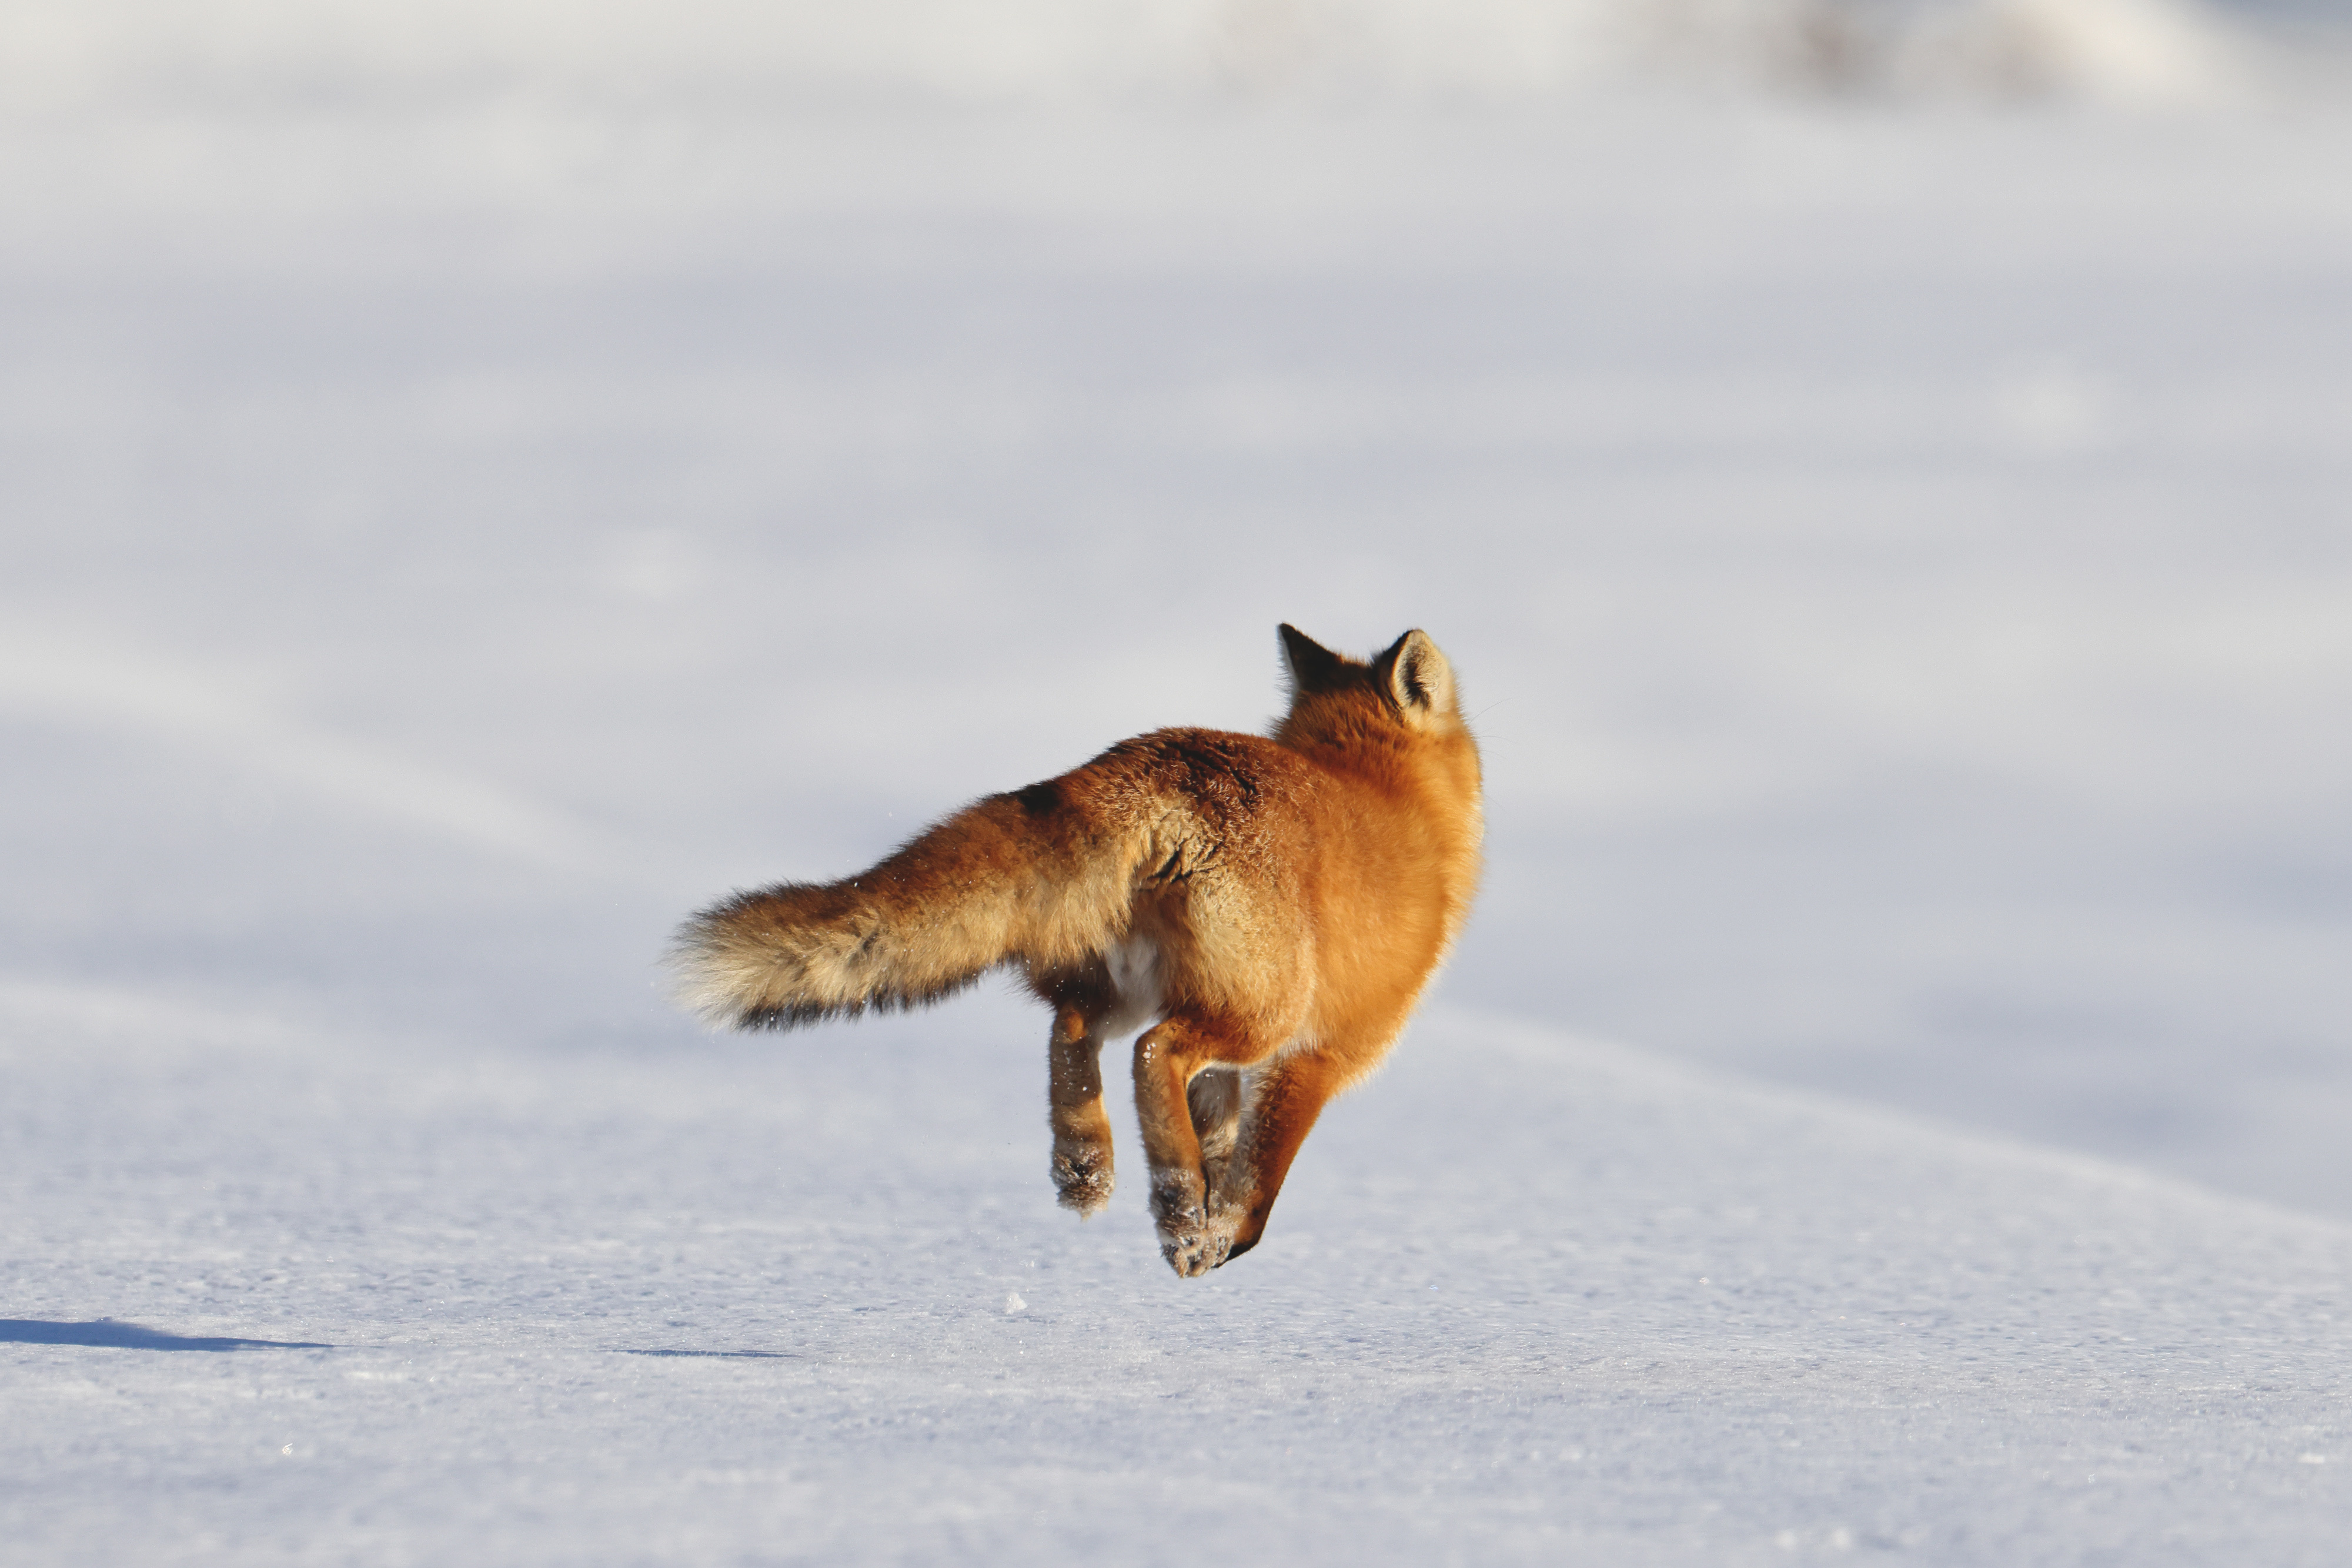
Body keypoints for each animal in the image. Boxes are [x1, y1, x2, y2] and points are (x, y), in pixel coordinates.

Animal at [673, 625, 1477, 1279]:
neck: (1383, 788)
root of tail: (1158, 764)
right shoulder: (1328, 1050)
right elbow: (1259, 1169)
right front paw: (1220, 1231)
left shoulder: (1239, 1069)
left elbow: (1221, 1135)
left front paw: (1200, 1205)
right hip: (1257, 1011)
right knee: (1153, 1052)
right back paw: (1176, 1204)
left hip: (1126, 987)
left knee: (1073, 1032)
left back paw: (1089, 1167)